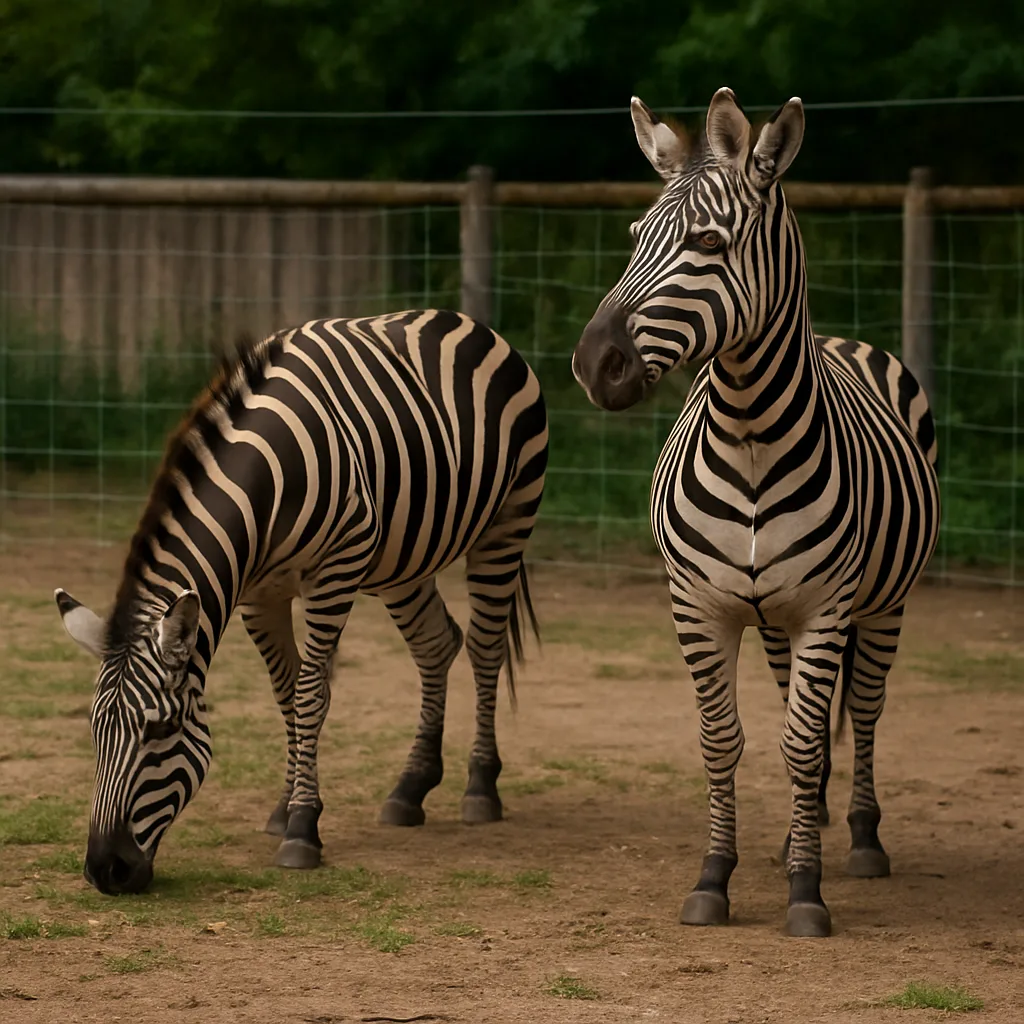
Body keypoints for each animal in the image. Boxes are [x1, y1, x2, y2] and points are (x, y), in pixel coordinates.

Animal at [55, 310, 548, 895]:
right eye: (94, 731)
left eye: (161, 730)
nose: (104, 870)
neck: (263, 483)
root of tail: (462, 320)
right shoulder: (258, 596)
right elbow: (287, 695)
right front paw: (284, 808)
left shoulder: (333, 574)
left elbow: (312, 696)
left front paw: (302, 830)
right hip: (403, 558)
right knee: (435, 645)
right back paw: (411, 788)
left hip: (508, 520)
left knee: (485, 647)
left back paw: (480, 787)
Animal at [572, 89, 940, 937]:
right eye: (635, 239)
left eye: (708, 241)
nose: (592, 365)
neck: (747, 435)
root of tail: (844, 338)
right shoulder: (698, 607)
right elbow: (725, 741)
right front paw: (717, 877)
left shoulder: (827, 608)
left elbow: (804, 743)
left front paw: (808, 893)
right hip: (776, 621)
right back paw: (798, 835)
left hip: (884, 605)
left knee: (863, 711)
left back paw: (860, 841)